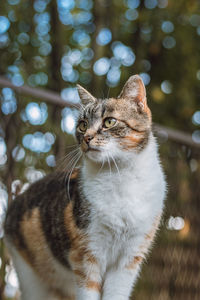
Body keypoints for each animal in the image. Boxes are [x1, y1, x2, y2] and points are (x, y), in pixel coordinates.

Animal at [3, 73, 166, 300]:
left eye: (109, 121)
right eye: (82, 125)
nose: (87, 137)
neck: (120, 177)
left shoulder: (129, 259)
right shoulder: (87, 256)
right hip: (30, 277)